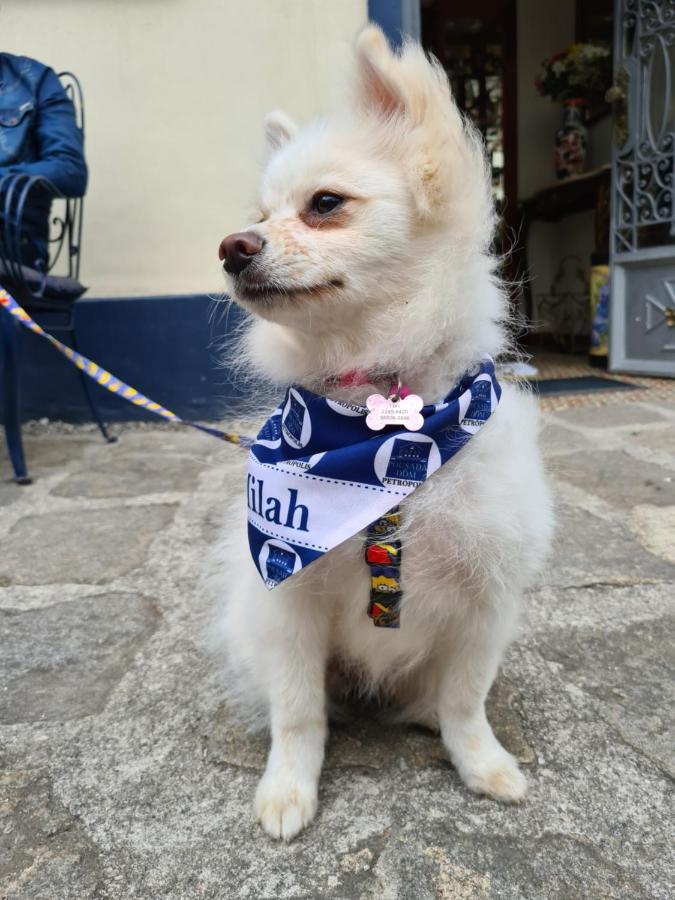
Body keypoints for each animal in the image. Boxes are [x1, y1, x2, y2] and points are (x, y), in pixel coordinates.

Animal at [213, 24, 556, 840]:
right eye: (260, 214)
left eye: (324, 204)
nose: (231, 246)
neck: (377, 424)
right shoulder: (288, 602)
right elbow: (298, 712)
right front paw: (288, 788)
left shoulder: (486, 602)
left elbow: (465, 698)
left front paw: (479, 763)